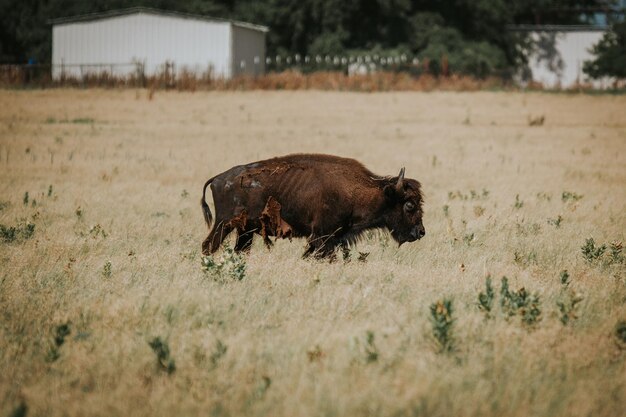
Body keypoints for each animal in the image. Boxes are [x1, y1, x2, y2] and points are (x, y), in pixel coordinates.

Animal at [200, 154, 424, 256]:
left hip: (245, 231)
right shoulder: (322, 237)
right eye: (409, 205)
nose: (421, 231)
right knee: (208, 246)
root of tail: (218, 179)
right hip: (224, 225)